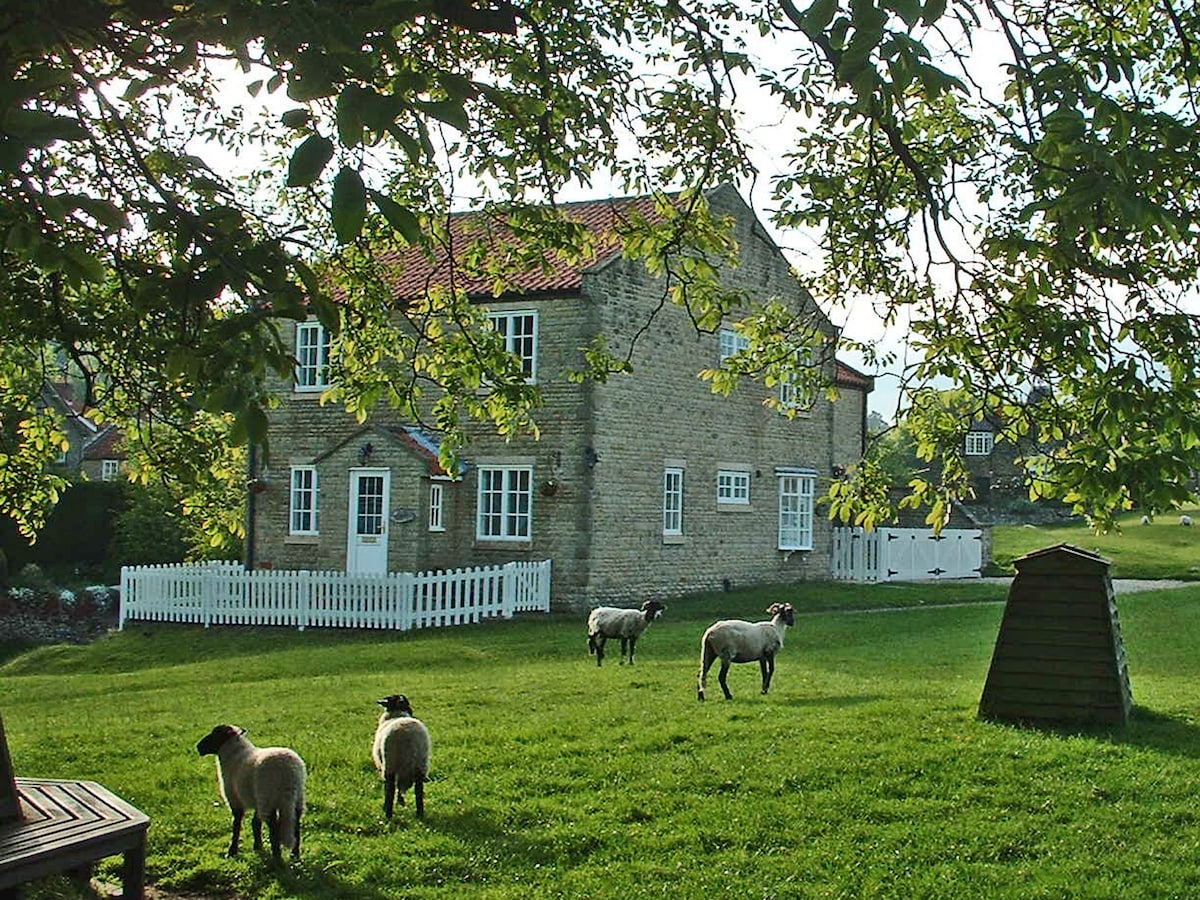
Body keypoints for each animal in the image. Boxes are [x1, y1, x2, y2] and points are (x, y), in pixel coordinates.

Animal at [192, 724, 304, 864]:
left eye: (215, 734)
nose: (198, 747)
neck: (233, 754)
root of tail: (288, 772)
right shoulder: (257, 800)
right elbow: (255, 822)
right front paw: (258, 846)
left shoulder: (234, 798)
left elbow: (237, 824)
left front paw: (232, 851)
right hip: (296, 798)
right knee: (296, 824)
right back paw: (295, 854)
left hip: (267, 798)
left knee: (273, 827)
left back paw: (277, 859)